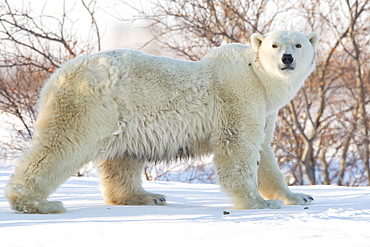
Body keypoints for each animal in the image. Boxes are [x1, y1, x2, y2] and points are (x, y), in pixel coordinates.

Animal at [5, 30, 318, 212]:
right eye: (274, 45)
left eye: (298, 44)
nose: (287, 58)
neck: (258, 76)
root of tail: (54, 79)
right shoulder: (238, 95)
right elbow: (239, 147)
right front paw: (260, 203)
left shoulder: (264, 109)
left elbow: (264, 153)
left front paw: (298, 197)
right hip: (91, 103)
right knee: (62, 145)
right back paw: (37, 202)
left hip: (123, 114)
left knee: (123, 157)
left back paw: (147, 196)